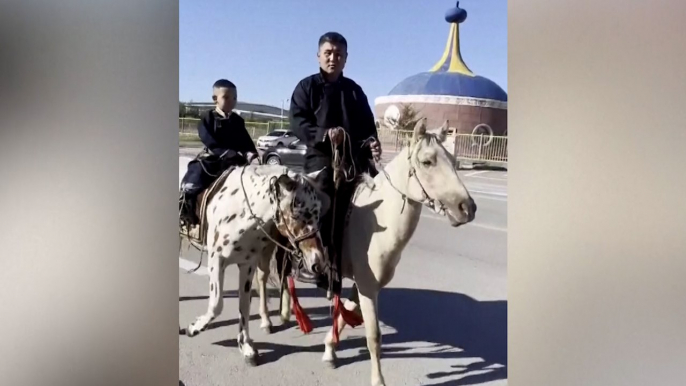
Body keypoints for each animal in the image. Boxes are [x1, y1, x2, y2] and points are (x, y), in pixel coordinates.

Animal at [255, 119, 476, 384]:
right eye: (427, 161)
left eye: (453, 160)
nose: (467, 208)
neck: (376, 222)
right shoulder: (368, 287)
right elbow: (373, 336)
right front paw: (378, 380)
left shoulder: (365, 284)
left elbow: (346, 312)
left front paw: (329, 350)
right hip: (264, 245)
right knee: (262, 277)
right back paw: (266, 320)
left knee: (285, 272)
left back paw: (287, 311)